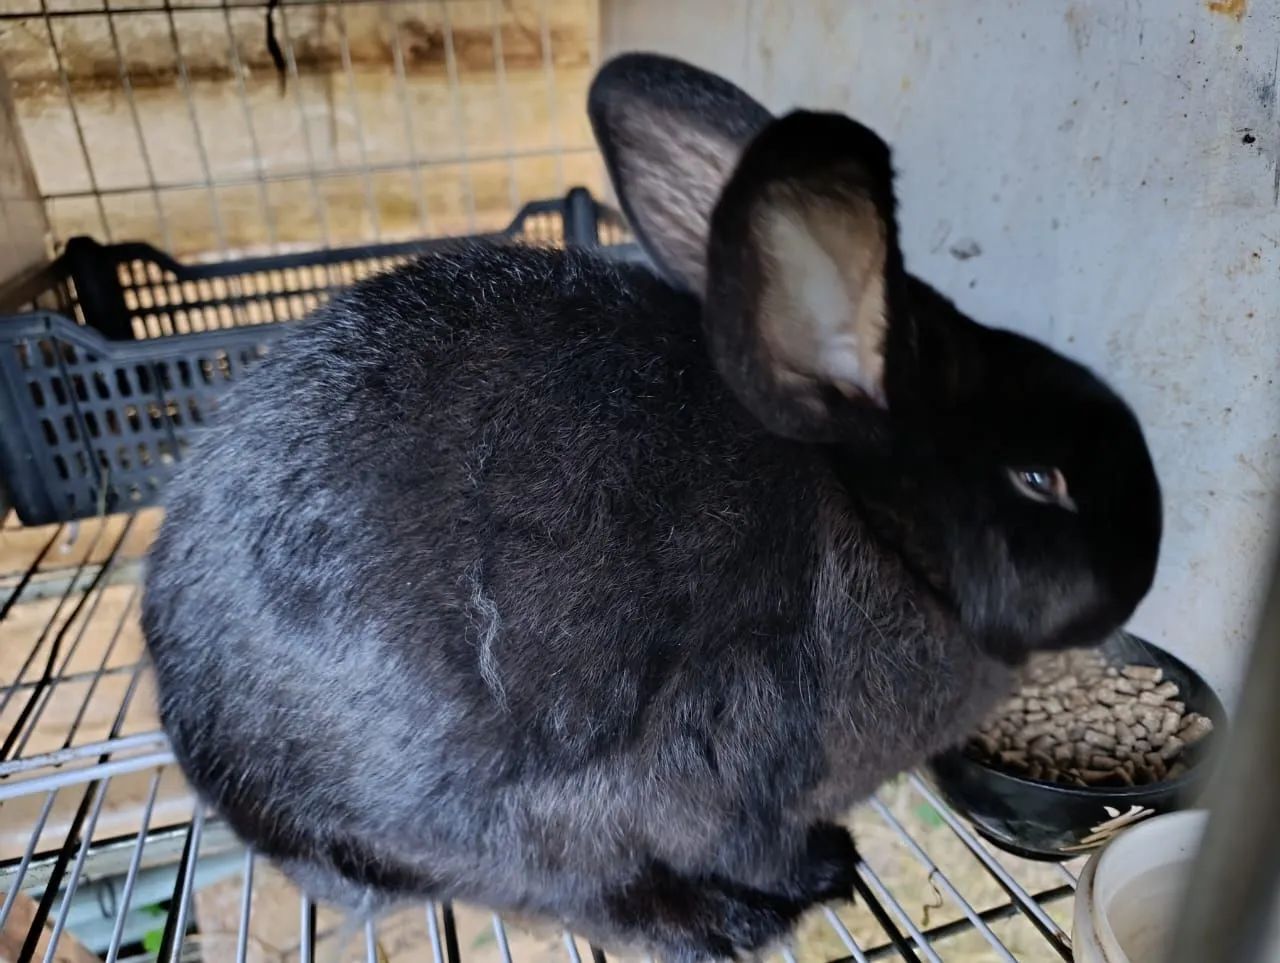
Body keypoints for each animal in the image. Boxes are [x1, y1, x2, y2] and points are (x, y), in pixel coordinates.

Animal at [141, 52, 1162, 962]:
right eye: (1039, 480)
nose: (1143, 564)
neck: (876, 525)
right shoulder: (742, 775)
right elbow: (755, 843)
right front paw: (824, 871)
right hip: (510, 816)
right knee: (581, 890)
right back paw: (728, 924)